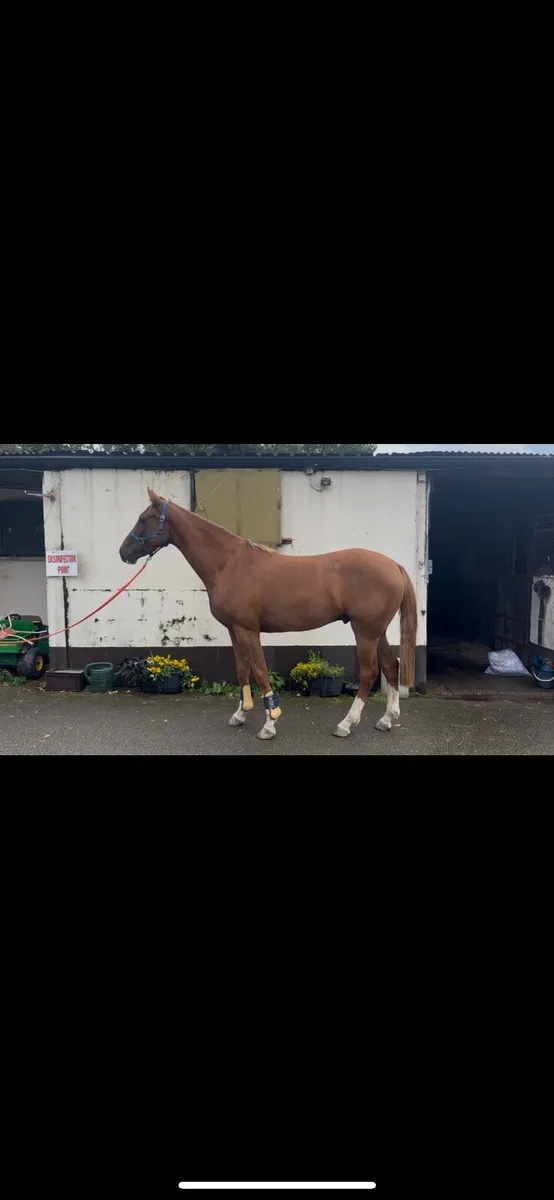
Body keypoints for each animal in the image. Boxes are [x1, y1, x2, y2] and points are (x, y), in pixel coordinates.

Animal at [120, 488, 418, 742]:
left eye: (144, 519)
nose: (123, 552)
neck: (230, 563)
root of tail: (394, 565)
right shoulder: (234, 630)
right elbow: (242, 670)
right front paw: (240, 714)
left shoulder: (248, 630)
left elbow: (260, 671)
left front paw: (269, 724)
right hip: (377, 631)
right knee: (391, 666)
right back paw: (386, 720)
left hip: (365, 631)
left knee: (369, 673)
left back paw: (346, 724)